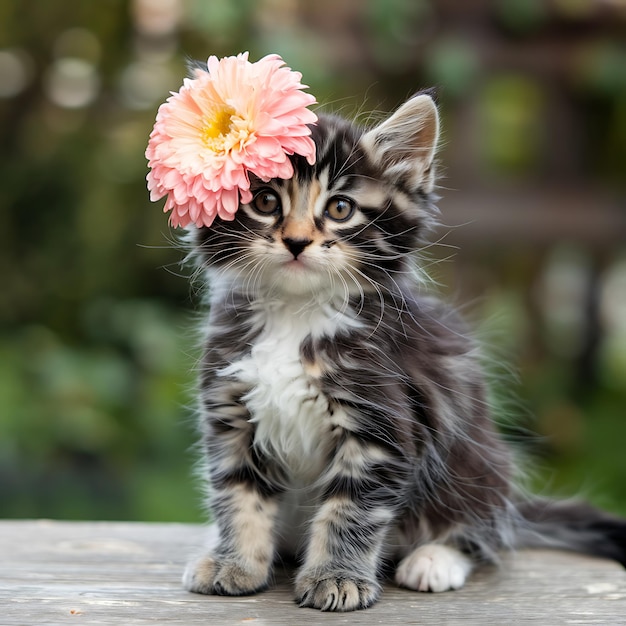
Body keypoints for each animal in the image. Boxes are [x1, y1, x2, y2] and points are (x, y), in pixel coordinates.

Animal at [180, 90, 624, 608]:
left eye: (340, 208)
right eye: (266, 201)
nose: (296, 241)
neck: (296, 312)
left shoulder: (380, 424)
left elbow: (350, 511)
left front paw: (337, 577)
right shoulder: (231, 415)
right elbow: (238, 497)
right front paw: (235, 564)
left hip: (475, 466)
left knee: (480, 532)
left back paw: (434, 560)